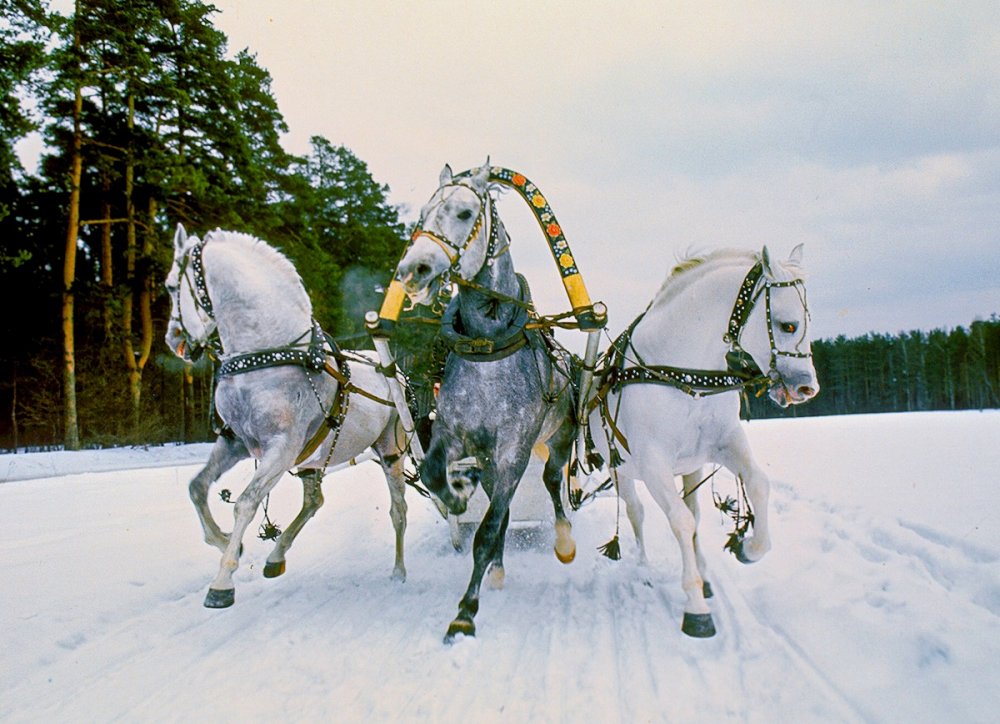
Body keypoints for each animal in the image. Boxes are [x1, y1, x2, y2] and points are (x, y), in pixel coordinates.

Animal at [168, 225, 410, 604]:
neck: (268, 356)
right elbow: (197, 487)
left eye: (169, 287)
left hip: (391, 450)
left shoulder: (281, 448)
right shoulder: (235, 442)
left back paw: (399, 570)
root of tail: (392, 370)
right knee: (314, 501)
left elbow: (245, 503)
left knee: (398, 510)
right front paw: (226, 543)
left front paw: (222, 581)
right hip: (315, 458)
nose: (173, 340)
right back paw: (276, 556)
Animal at [392, 163, 580, 640]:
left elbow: (490, 526)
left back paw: (563, 540)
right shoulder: (454, 434)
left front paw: (465, 611)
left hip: (559, 436)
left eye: (463, 212)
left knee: (552, 480)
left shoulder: (514, 448)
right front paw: (458, 496)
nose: (413, 269)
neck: (488, 346)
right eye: (422, 214)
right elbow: (435, 474)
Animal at [588, 246, 816, 636]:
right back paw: (645, 569)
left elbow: (757, 484)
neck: (684, 374)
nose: (807, 388)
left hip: (691, 467)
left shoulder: (724, 442)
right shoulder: (653, 462)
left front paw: (749, 548)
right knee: (637, 512)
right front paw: (695, 608)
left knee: (693, 510)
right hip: (622, 472)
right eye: (788, 325)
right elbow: (679, 521)